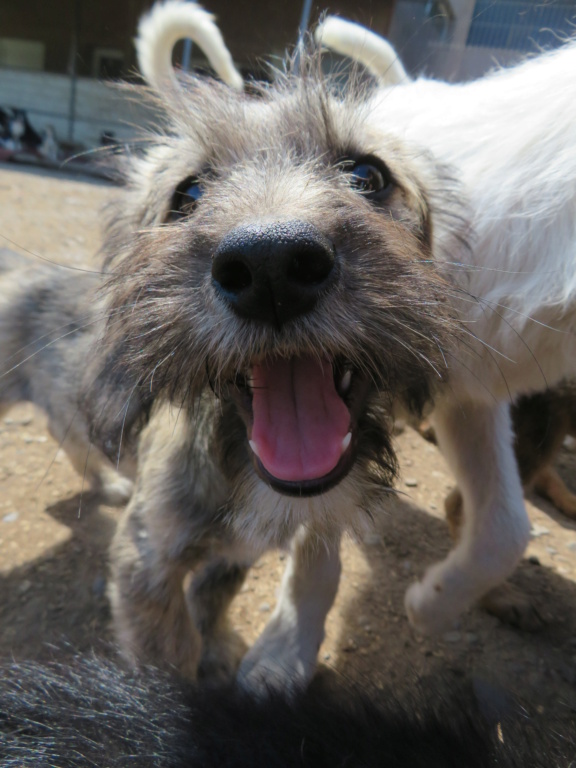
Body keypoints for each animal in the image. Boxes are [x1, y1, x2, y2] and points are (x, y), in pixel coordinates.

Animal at [81, 1, 466, 696]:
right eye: (189, 194)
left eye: (367, 175)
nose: (271, 267)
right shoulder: (143, 562)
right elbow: (166, 654)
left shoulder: (231, 560)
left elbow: (212, 601)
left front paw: (220, 651)